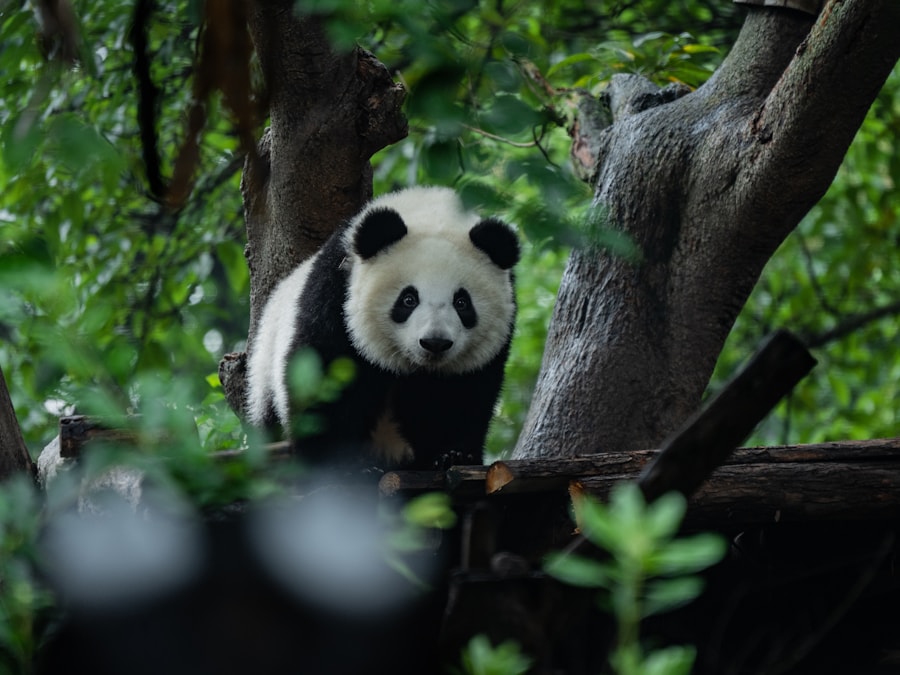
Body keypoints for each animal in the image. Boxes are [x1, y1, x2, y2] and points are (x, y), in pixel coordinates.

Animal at [245, 186, 520, 469]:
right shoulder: (335, 295)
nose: (435, 343)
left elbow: (460, 396)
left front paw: (453, 454)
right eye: (408, 299)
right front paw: (337, 462)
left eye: (462, 303)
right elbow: (324, 379)